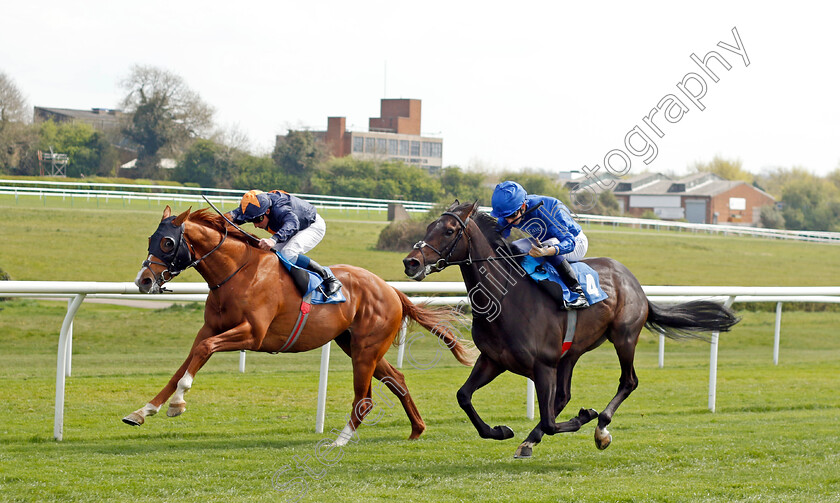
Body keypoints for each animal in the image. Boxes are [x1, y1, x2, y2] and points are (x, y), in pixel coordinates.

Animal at [127, 206, 476, 444]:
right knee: (397, 379)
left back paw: (339, 441)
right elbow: (186, 362)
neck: (238, 272)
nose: (143, 280)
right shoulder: (211, 328)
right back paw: (417, 429)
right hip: (356, 346)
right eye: (151, 239)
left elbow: (202, 351)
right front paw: (144, 411)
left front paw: (178, 403)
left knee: (365, 399)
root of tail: (392, 290)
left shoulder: (252, 334)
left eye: (168, 243)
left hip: (366, 350)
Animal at [400, 201, 736, 456]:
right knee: (562, 397)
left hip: (624, 336)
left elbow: (551, 421)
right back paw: (531, 440)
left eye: (449, 230)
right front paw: (500, 430)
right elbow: (464, 396)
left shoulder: (542, 365)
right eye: (428, 226)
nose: (411, 262)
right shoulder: (494, 360)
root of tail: (636, 284)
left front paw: (585, 417)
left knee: (628, 381)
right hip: (570, 353)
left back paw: (601, 426)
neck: (505, 300)